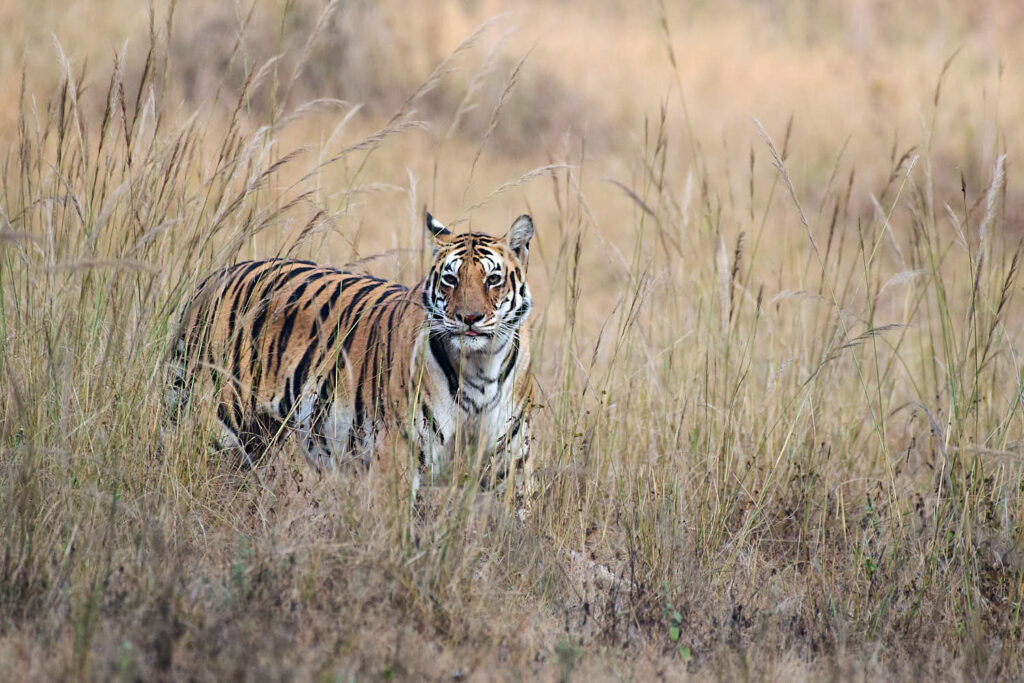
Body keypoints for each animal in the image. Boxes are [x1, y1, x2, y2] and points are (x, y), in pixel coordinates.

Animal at [165, 212, 536, 494]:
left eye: (492, 279)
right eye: (450, 279)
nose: (469, 318)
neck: (480, 366)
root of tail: (217, 277)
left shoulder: (511, 459)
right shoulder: (399, 452)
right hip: (229, 426)